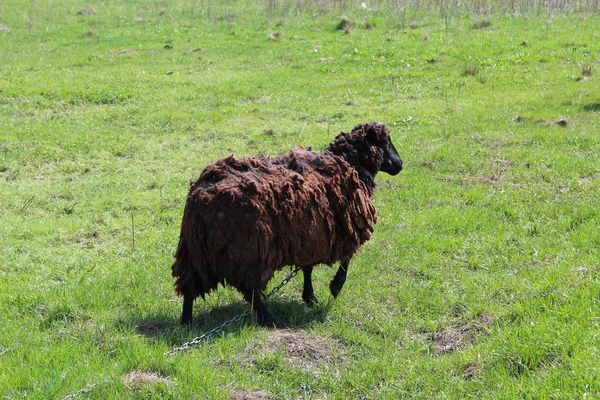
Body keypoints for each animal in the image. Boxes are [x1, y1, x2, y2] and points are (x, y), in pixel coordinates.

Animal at [171, 121, 404, 324]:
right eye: (385, 141)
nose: (400, 164)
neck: (349, 163)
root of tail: (199, 195)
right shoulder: (343, 228)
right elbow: (346, 260)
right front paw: (335, 286)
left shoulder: (311, 232)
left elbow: (307, 268)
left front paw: (309, 296)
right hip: (248, 250)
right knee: (249, 289)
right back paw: (269, 319)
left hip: (194, 251)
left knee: (190, 284)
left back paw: (186, 322)